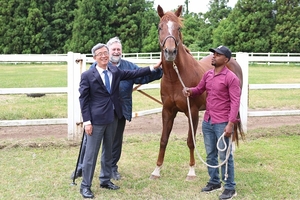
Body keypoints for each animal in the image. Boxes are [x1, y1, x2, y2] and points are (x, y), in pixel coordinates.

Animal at [151, 4, 245, 180]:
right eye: (160, 27)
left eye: (179, 28)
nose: (170, 52)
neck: (175, 78)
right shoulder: (167, 111)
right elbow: (163, 139)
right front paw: (157, 170)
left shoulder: (192, 112)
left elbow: (190, 141)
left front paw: (191, 171)